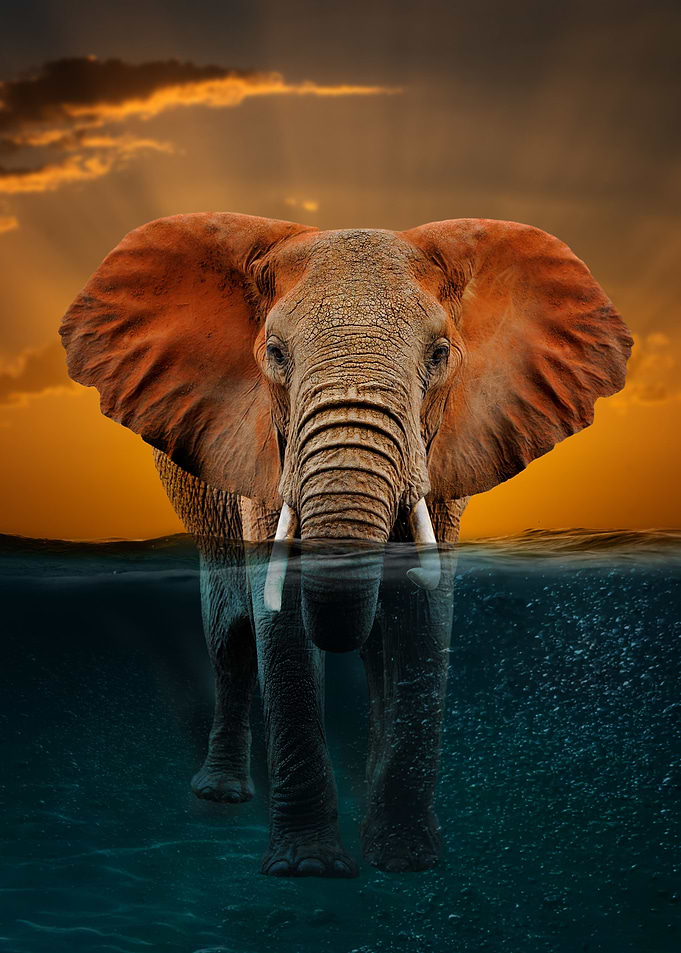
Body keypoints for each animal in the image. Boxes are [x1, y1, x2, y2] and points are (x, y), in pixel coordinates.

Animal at [59, 213, 632, 878]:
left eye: (439, 356)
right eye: (274, 354)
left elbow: (421, 618)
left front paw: (405, 861)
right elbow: (277, 620)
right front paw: (309, 868)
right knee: (230, 633)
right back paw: (222, 794)